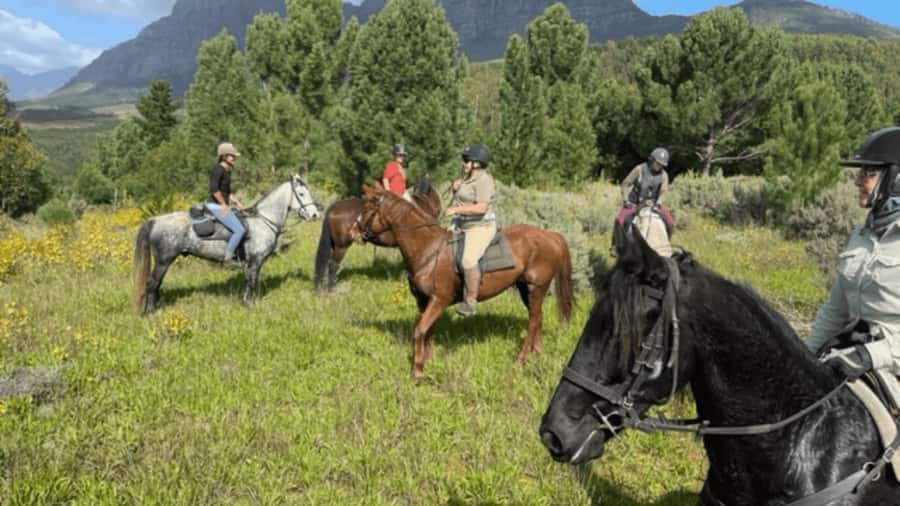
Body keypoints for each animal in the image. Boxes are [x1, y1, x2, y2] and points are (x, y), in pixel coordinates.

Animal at [133, 175, 320, 314]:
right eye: (301, 194)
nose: (315, 215)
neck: (263, 220)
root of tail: (155, 220)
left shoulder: (254, 262)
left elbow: (250, 281)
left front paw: (247, 301)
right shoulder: (255, 260)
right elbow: (252, 282)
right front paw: (249, 304)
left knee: (157, 285)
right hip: (164, 260)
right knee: (152, 284)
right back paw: (149, 312)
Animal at [353, 183, 575, 379]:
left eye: (367, 208)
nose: (354, 231)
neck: (429, 248)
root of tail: (550, 235)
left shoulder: (439, 299)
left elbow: (419, 331)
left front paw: (418, 371)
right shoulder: (425, 301)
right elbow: (428, 331)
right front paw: (428, 361)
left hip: (536, 288)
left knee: (533, 322)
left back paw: (520, 360)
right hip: (525, 289)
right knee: (537, 319)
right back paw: (536, 354)